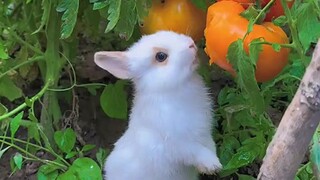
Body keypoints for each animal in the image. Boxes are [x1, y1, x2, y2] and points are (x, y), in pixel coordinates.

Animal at [94, 31, 221, 180]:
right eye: (161, 56)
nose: (191, 44)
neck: (170, 90)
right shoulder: (177, 143)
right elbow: (196, 151)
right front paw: (213, 165)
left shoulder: (204, 133)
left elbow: (210, 145)